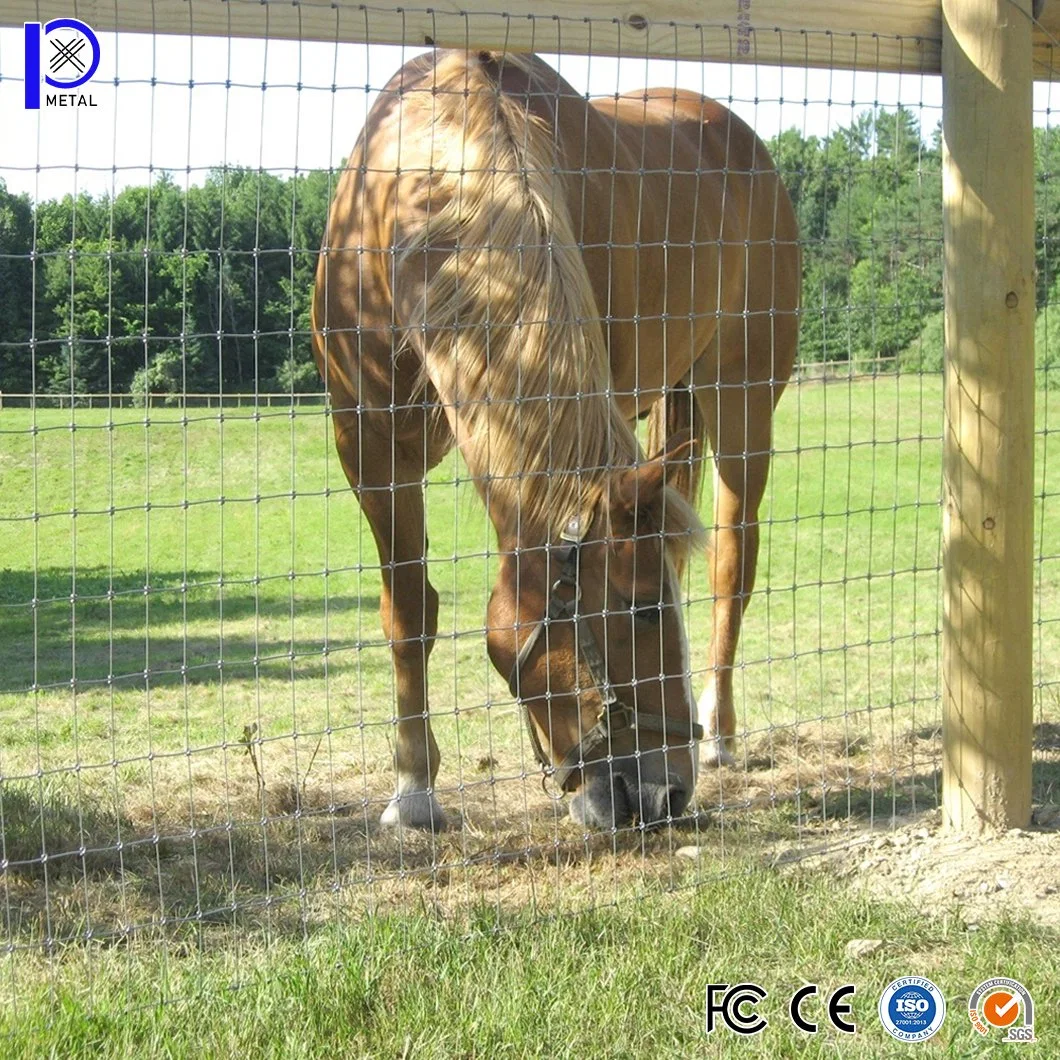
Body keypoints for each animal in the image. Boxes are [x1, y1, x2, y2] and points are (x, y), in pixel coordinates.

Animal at [309, 49, 797, 831]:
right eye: (642, 609)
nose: (664, 795)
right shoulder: (370, 447)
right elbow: (408, 611)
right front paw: (413, 789)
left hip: (742, 404)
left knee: (733, 566)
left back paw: (721, 731)